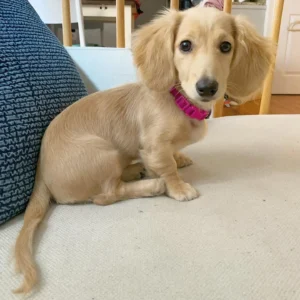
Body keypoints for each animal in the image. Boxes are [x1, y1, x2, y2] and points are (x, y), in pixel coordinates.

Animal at [15, 6, 276, 292]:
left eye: (226, 46)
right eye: (185, 45)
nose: (207, 88)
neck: (179, 101)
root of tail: (40, 173)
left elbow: (172, 157)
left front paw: (179, 158)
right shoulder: (154, 147)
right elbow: (168, 168)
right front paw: (178, 188)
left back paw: (135, 170)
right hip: (104, 153)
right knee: (107, 195)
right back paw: (151, 185)